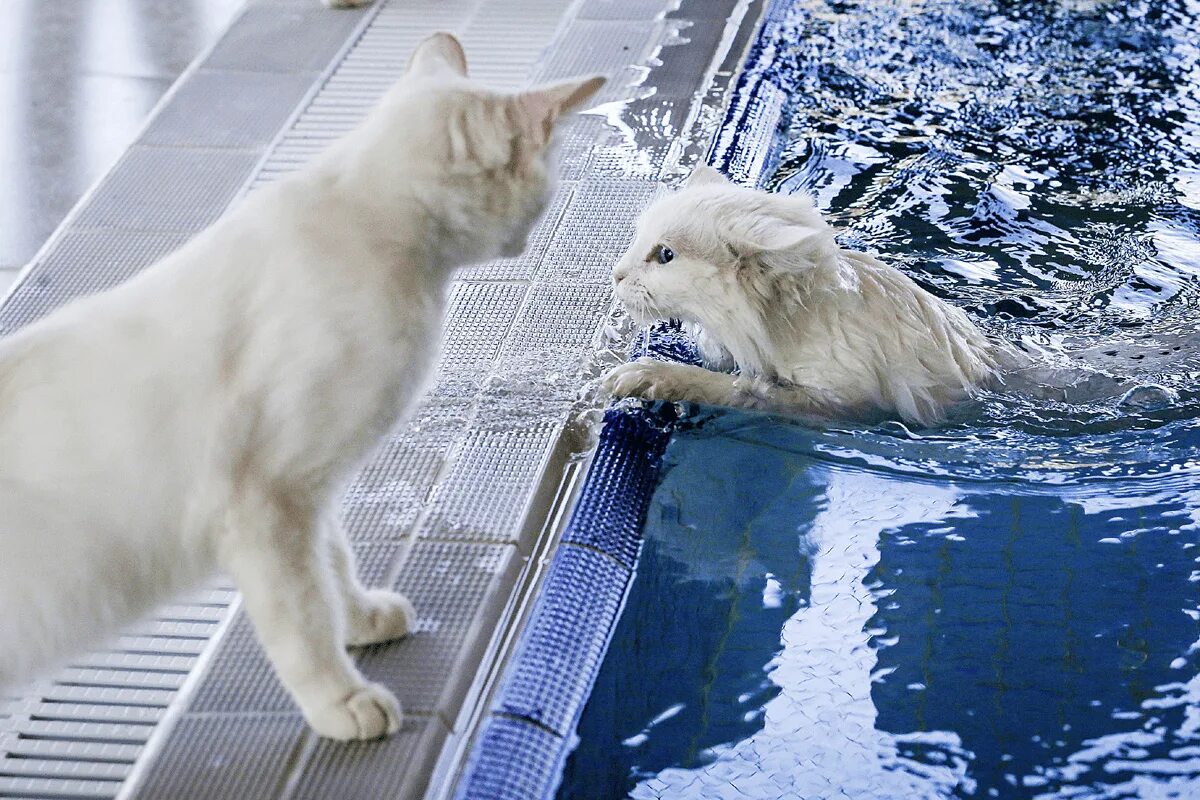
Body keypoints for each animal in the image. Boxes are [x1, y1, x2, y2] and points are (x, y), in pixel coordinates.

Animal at [0, 32, 600, 743]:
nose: (528, 237)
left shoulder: (310, 486)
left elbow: (332, 564)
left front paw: (361, 619)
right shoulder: (266, 499)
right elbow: (304, 616)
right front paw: (343, 699)